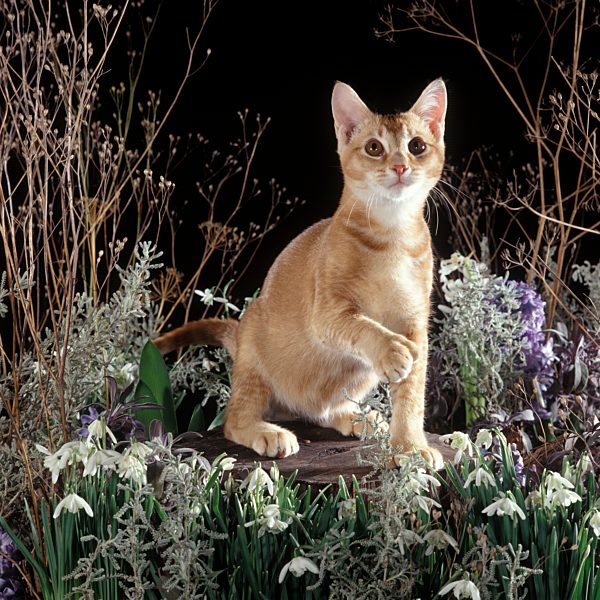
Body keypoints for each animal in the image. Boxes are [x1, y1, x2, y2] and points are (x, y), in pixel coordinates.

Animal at [157, 78, 448, 468]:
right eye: (374, 148)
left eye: (416, 146)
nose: (401, 166)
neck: (392, 237)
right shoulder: (327, 312)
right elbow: (364, 325)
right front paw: (390, 351)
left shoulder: (415, 322)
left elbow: (412, 397)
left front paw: (411, 449)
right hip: (255, 360)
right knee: (234, 419)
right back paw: (269, 433)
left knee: (321, 410)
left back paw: (358, 418)